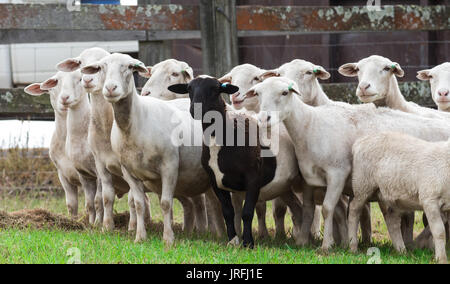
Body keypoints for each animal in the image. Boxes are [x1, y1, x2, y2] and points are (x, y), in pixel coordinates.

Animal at [352, 131, 450, 264]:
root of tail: (360, 141)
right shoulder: (430, 200)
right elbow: (439, 231)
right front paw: (441, 259)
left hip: (388, 193)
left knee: (391, 219)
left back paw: (401, 251)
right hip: (362, 183)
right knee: (354, 210)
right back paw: (352, 247)